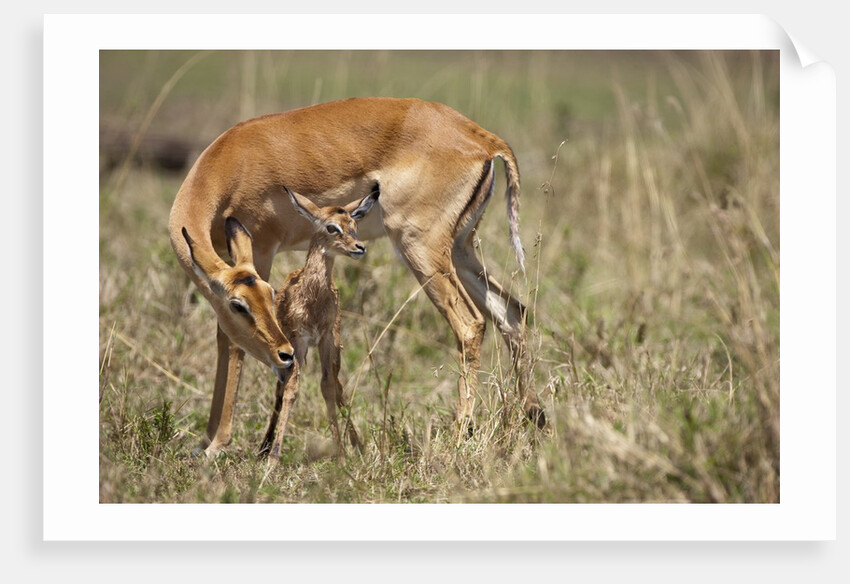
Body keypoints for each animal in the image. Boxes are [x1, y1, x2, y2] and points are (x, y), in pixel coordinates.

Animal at [258, 188, 377, 464]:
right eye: (332, 227)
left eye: (354, 225)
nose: (360, 247)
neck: (312, 298)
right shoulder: (299, 341)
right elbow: (292, 390)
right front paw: (273, 459)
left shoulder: (326, 340)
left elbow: (328, 388)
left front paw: (342, 453)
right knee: (280, 389)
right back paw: (264, 447)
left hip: (334, 349)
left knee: (338, 386)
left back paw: (358, 446)